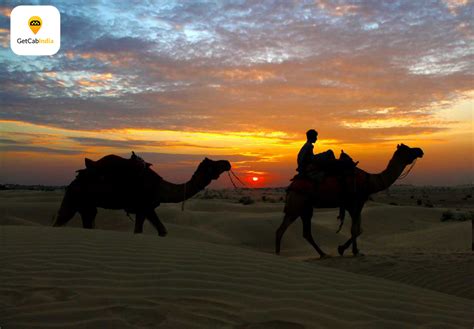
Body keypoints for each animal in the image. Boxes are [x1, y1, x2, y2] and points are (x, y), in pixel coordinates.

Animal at [53, 154, 231, 233]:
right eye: (213, 164)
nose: (227, 163)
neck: (160, 187)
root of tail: (76, 178)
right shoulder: (144, 206)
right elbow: (145, 230)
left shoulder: (146, 209)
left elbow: (161, 231)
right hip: (76, 198)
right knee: (61, 219)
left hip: (86, 205)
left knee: (87, 220)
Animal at [276, 143, 424, 256]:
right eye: (407, 149)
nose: (420, 150)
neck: (370, 181)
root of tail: (291, 187)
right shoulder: (354, 203)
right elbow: (355, 229)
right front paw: (343, 249)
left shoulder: (355, 204)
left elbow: (359, 228)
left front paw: (355, 250)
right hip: (297, 205)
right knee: (282, 229)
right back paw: (278, 254)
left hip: (305, 208)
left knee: (305, 233)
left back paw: (323, 254)